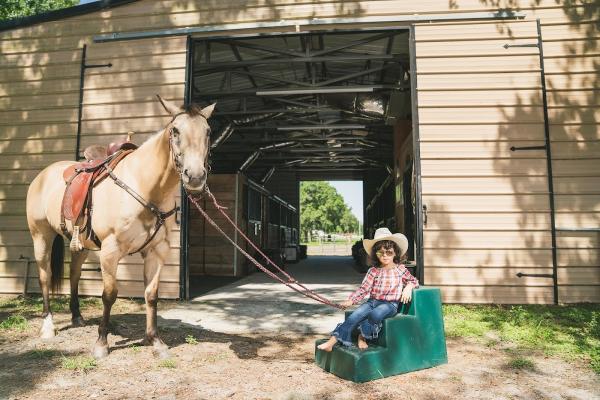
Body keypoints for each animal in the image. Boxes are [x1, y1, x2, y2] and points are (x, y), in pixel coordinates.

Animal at [25, 94, 216, 360]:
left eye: (208, 131)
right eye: (175, 130)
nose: (195, 177)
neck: (145, 186)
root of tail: (42, 176)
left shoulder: (157, 251)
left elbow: (151, 295)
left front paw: (155, 341)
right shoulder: (110, 250)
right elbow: (109, 295)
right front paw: (101, 343)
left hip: (81, 245)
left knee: (74, 275)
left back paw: (77, 317)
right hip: (41, 236)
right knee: (44, 276)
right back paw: (48, 326)